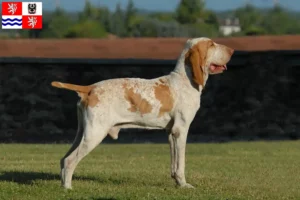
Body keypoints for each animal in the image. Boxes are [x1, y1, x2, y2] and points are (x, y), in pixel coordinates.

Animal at [51, 37, 234, 189]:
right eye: (211, 44)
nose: (232, 50)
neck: (184, 80)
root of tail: (89, 88)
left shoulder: (171, 133)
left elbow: (174, 163)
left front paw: (176, 182)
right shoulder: (181, 130)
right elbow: (181, 163)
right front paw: (184, 185)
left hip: (83, 132)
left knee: (63, 159)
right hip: (95, 134)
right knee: (69, 161)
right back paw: (68, 188)